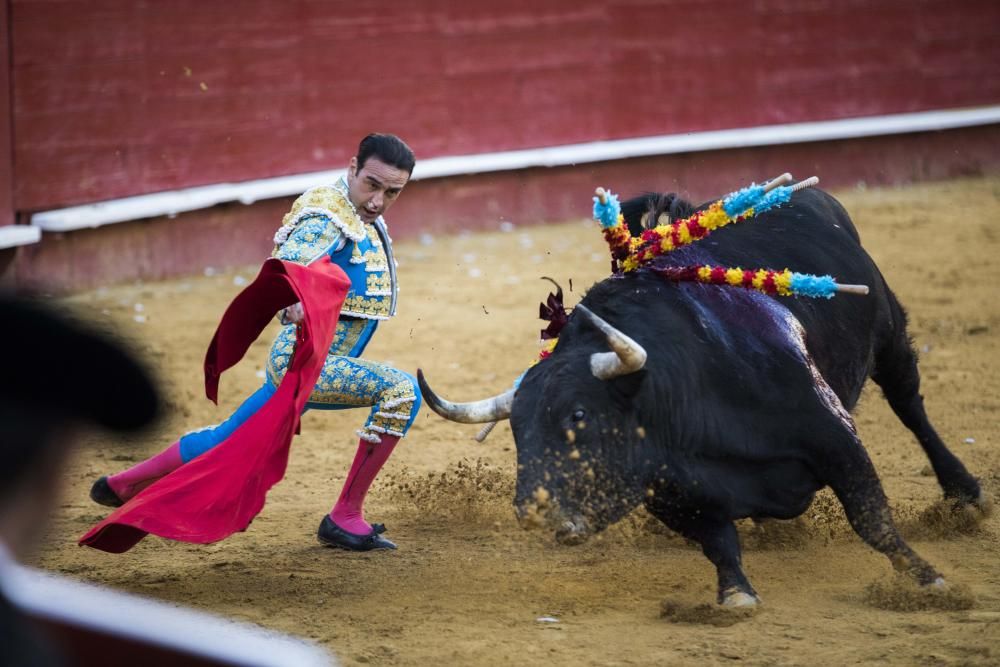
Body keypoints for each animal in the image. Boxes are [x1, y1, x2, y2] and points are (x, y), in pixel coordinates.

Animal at [416, 185, 984, 608]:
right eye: (516, 430)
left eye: (579, 414)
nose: (534, 512)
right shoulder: (673, 492)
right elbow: (718, 544)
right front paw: (735, 596)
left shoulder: (834, 436)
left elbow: (872, 519)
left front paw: (928, 579)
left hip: (889, 332)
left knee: (910, 406)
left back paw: (965, 494)